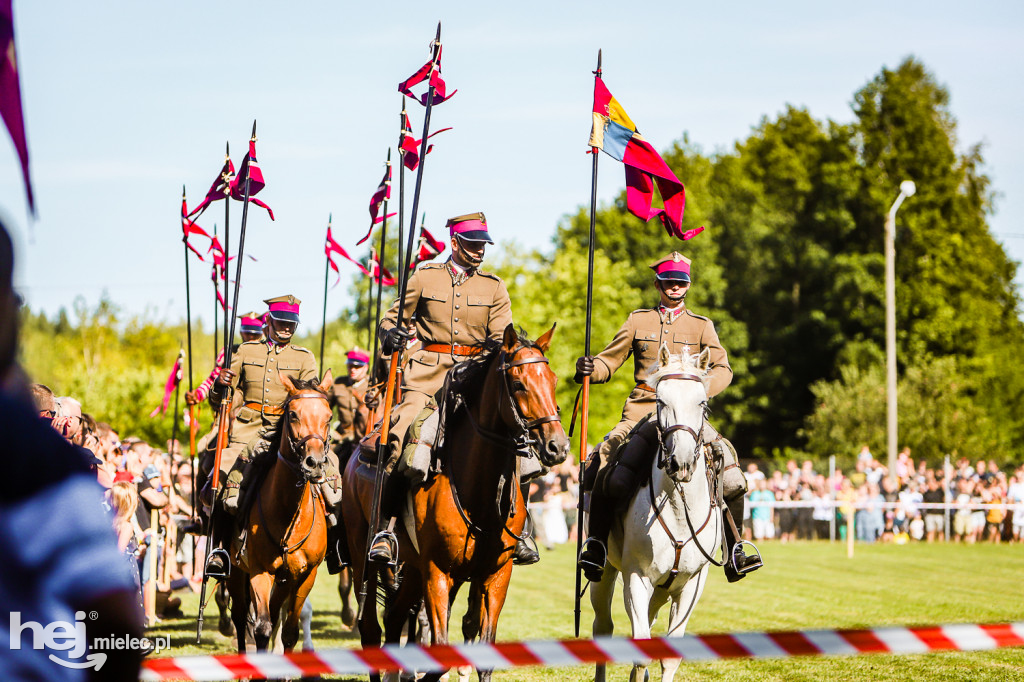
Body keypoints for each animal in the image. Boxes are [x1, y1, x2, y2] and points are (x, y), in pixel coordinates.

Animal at [227, 368, 331, 651]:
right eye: (293, 414)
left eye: (329, 417)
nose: (314, 463)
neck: (288, 513)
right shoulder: (259, 570)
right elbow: (262, 627)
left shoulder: (305, 576)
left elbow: (289, 632)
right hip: (236, 572)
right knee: (240, 616)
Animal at [342, 323, 569, 679]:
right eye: (519, 384)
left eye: (553, 380)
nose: (557, 446)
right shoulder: (438, 572)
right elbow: (440, 649)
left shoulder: (495, 575)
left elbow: (479, 647)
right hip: (363, 557)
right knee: (371, 629)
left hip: (412, 569)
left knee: (394, 621)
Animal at [589, 346, 724, 679]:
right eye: (661, 401)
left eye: (702, 403)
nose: (681, 462)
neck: (678, 508)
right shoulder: (636, 578)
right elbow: (640, 651)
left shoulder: (691, 586)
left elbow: (669, 655)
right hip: (605, 573)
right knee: (603, 627)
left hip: (664, 589)